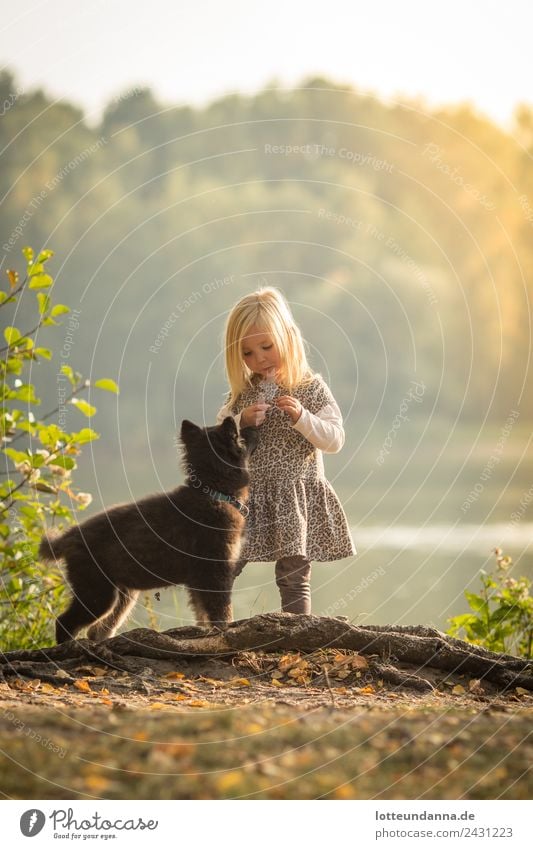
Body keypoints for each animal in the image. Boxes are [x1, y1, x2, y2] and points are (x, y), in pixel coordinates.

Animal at [38, 418, 256, 644]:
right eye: (238, 436)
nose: (251, 427)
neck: (212, 492)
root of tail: (68, 537)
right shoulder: (215, 571)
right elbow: (221, 611)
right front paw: (225, 632)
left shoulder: (199, 580)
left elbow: (203, 614)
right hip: (97, 591)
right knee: (65, 623)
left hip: (122, 593)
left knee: (97, 630)